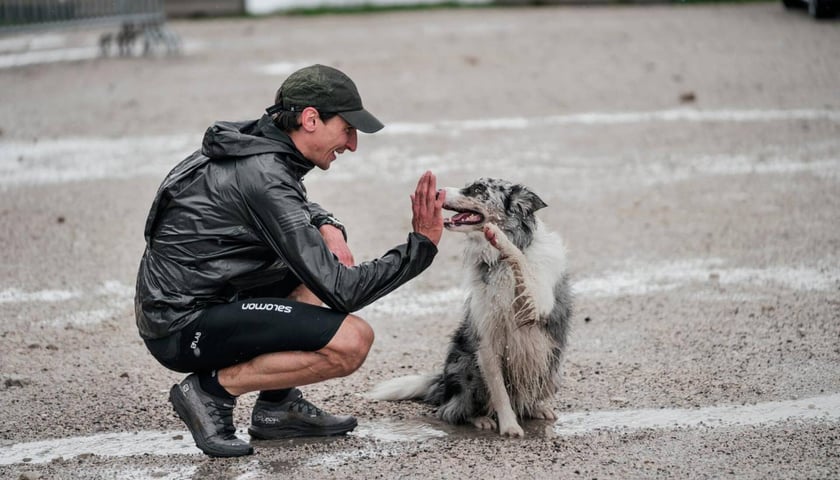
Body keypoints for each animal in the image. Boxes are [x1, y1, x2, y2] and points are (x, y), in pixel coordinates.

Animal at [368, 178, 572, 436]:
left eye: (477, 189)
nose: (436, 191)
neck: (499, 265)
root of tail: (443, 384)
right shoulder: (486, 342)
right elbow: (499, 392)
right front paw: (509, 426)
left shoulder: (539, 304)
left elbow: (521, 262)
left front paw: (501, 240)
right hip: (466, 366)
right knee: (451, 410)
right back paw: (481, 419)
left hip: (555, 368)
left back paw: (537, 408)